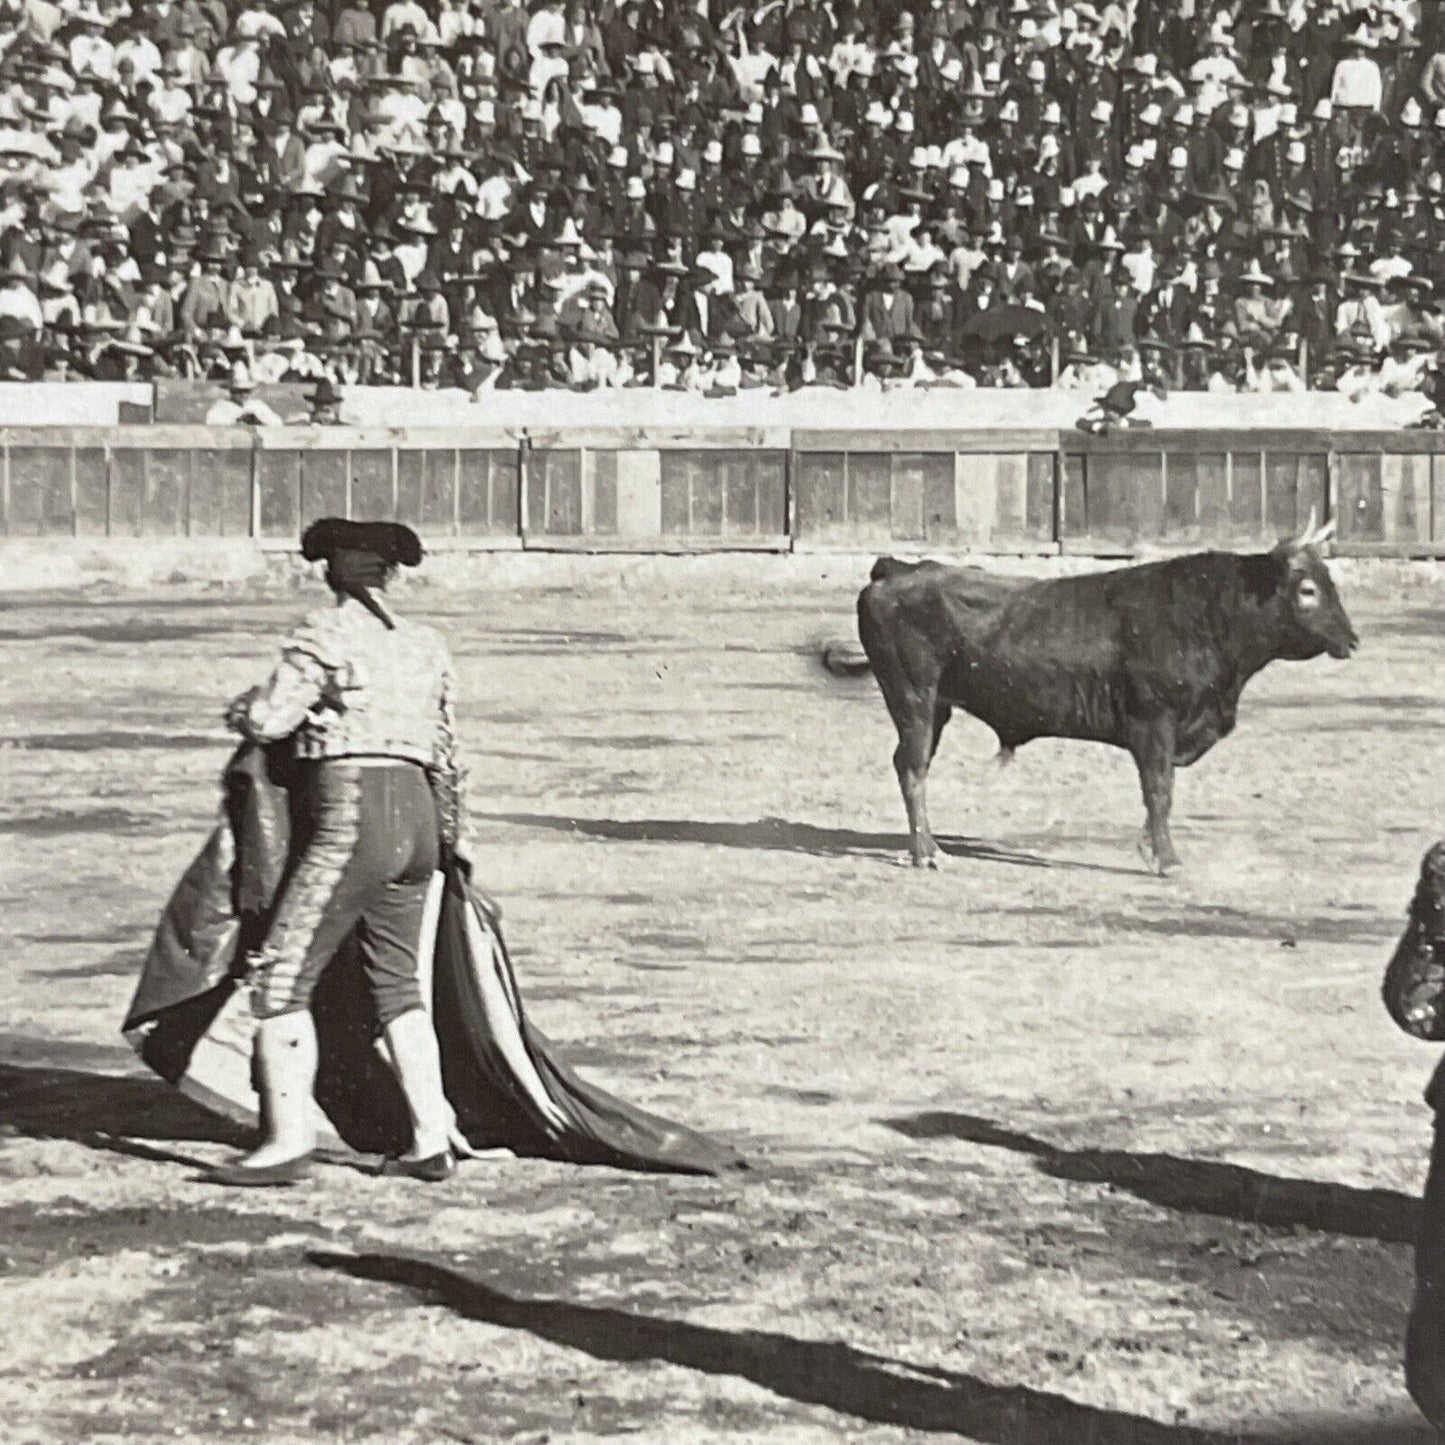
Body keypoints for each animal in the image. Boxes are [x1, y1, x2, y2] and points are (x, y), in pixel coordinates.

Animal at [843, 517, 1358, 867]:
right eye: (1308, 590)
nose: (1352, 640)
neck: (1204, 615)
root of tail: (896, 570)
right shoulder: (1154, 722)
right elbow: (1159, 790)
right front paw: (1166, 858)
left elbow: (1158, 793)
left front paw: (1151, 847)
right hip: (914, 699)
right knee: (912, 768)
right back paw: (926, 852)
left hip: (936, 707)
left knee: (910, 765)